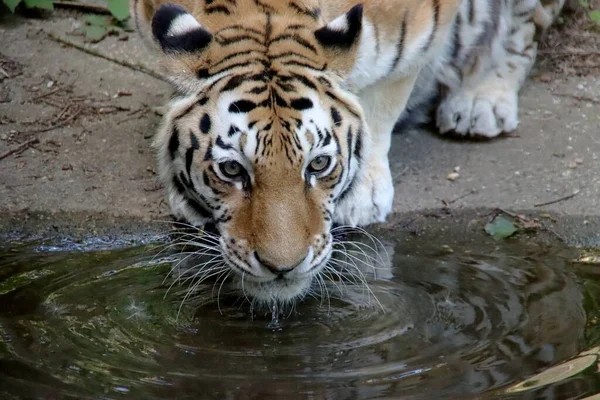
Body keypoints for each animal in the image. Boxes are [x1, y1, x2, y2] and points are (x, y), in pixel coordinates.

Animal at [132, 0, 568, 304]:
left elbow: (382, 103)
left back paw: (481, 100)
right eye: (232, 171)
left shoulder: (417, 34)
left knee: (521, 36)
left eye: (319, 164)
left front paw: (363, 195)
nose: (283, 268)